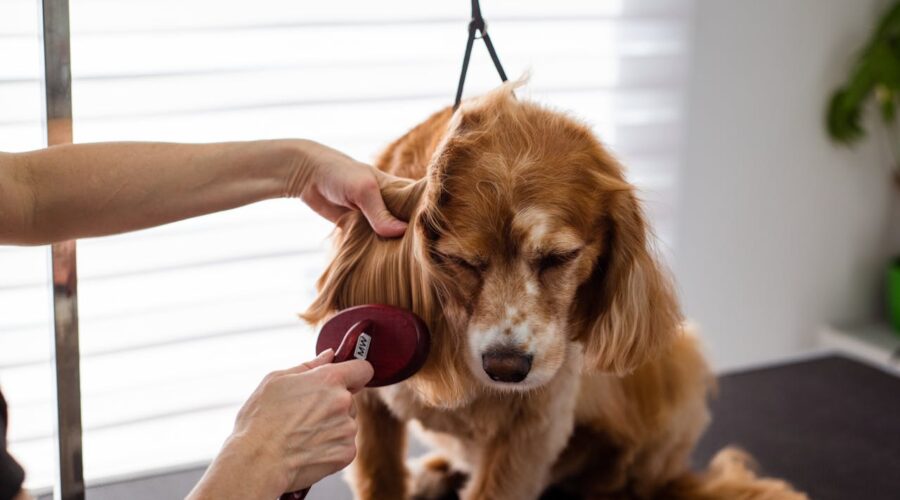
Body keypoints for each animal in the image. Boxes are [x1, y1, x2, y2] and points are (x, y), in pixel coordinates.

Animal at [302, 84, 800, 498]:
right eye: (462, 261)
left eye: (559, 258)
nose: (506, 368)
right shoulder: (367, 400)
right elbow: (379, 476)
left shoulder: (531, 429)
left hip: (681, 364)